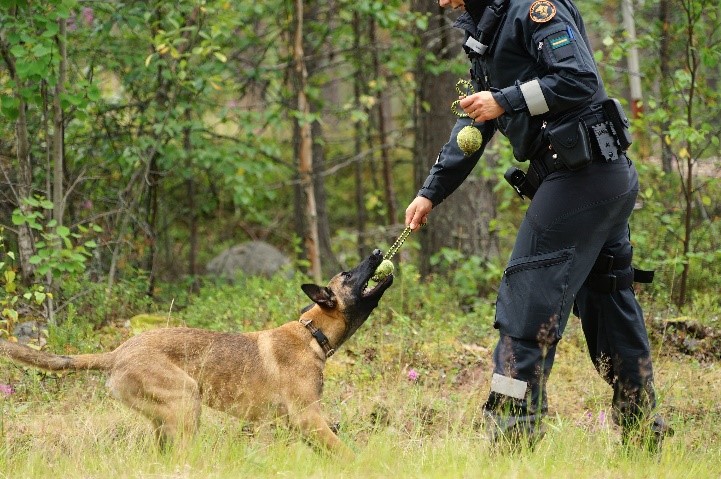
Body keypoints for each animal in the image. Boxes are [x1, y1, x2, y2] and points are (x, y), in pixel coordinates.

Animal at [0, 249, 394, 456]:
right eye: (347, 274)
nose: (377, 253)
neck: (313, 333)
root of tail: (118, 352)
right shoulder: (309, 418)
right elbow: (345, 452)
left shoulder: (296, 425)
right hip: (187, 401)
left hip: (167, 419)